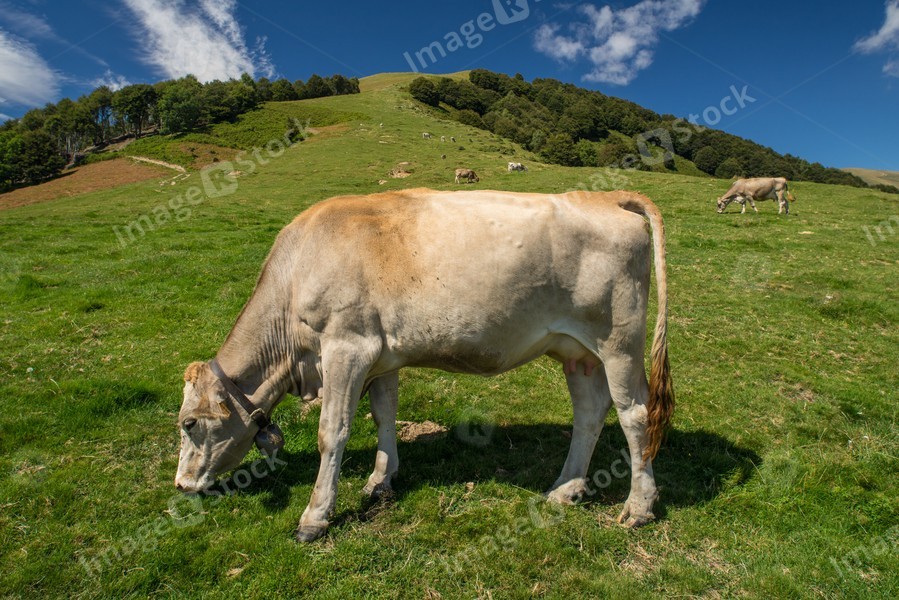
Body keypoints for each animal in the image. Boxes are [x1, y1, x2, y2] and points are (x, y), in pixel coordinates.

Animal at [174, 188, 674, 543]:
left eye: (189, 424)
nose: (180, 485)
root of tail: (604, 196)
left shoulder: (346, 346)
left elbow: (332, 431)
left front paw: (315, 517)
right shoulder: (380, 356)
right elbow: (384, 414)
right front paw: (381, 480)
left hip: (618, 343)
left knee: (634, 416)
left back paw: (639, 507)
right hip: (579, 353)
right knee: (590, 412)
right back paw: (567, 487)